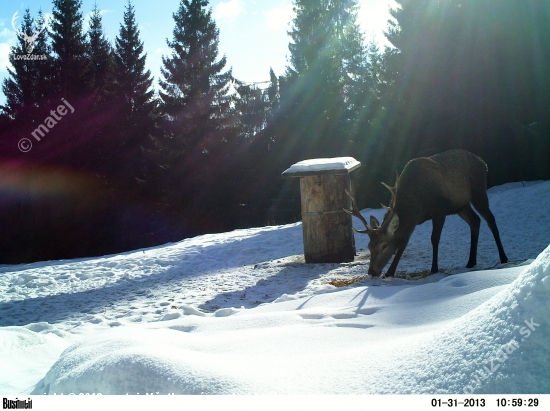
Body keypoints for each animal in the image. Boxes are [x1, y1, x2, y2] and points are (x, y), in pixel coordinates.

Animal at [348, 150, 512, 278]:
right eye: (369, 246)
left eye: (384, 246)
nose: (371, 272)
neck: (416, 201)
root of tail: (484, 164)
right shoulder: (414, 218)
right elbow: (403, 242)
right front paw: (390, 272)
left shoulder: (439, 209)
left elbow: (434, 238)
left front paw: (434, 269)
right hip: (461, 205)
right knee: (475, 220)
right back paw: (471, 262)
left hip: (478, 192)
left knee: (490, 219)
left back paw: (504, 257)